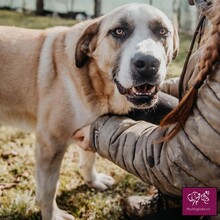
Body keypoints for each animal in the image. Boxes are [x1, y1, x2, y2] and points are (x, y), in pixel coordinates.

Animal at [0, 3, 179, 220]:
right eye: (119, 31)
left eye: (162, 31)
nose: (148, 64)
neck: (95, 83)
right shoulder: (50, 144)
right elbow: (48, 189)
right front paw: (52, 214)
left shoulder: (92, 125)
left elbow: (89, 157)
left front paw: (92, 181)